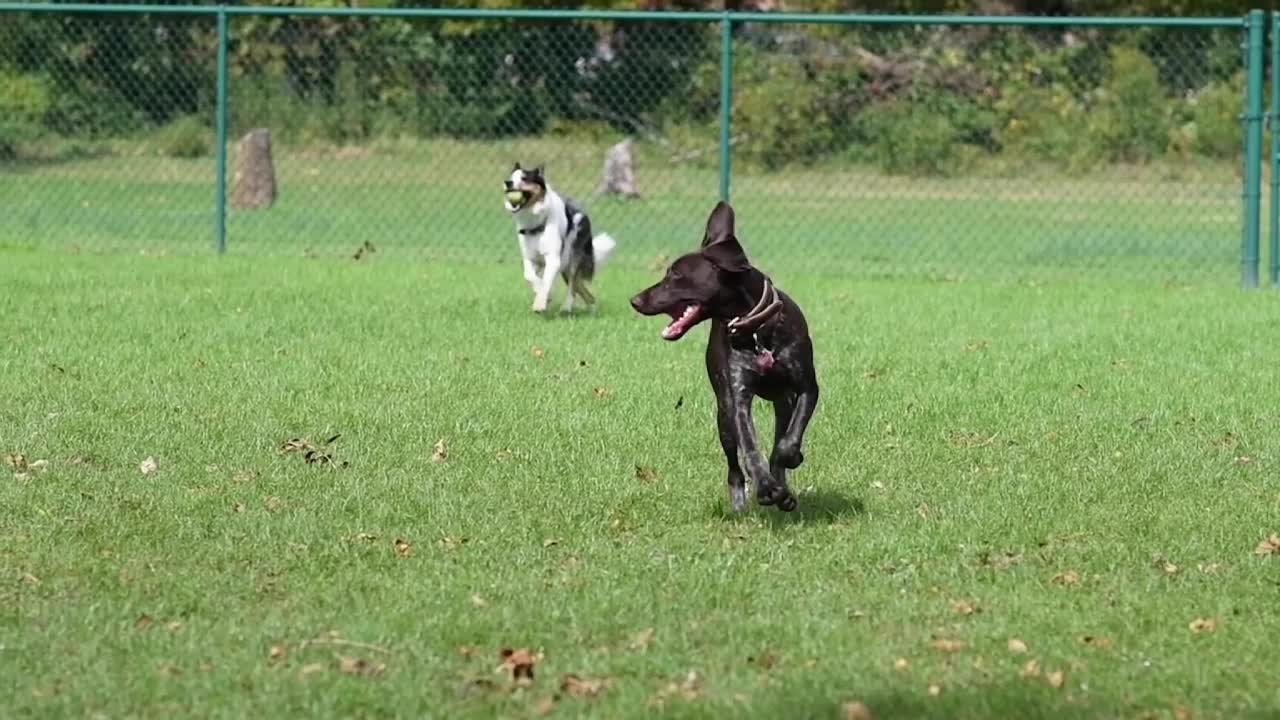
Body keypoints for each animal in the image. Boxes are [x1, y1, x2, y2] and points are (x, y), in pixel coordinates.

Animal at [501, 163, 616, 312]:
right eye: (511, 177)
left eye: (525, 178)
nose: (508, 183)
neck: (536, 222)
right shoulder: (530, 258)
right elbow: (530, 276)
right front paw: (544, 295)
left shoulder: (553, 259)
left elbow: (546, 282)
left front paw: (540, 304)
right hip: (565, 265)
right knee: (583, 290)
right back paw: (592, 309)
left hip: (572, 260)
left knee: (573, 285)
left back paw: (567, 307)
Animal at [629, 199, 819, 509]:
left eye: (675, 274)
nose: (635, 300)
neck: (757, 331)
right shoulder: (738, 398)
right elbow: (751, 449)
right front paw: (766, 486)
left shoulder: (806, 388)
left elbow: (788, 439)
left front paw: (788, 462)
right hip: (723, 414)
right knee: (734, 463)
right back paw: (744, 498)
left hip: (782, 400)